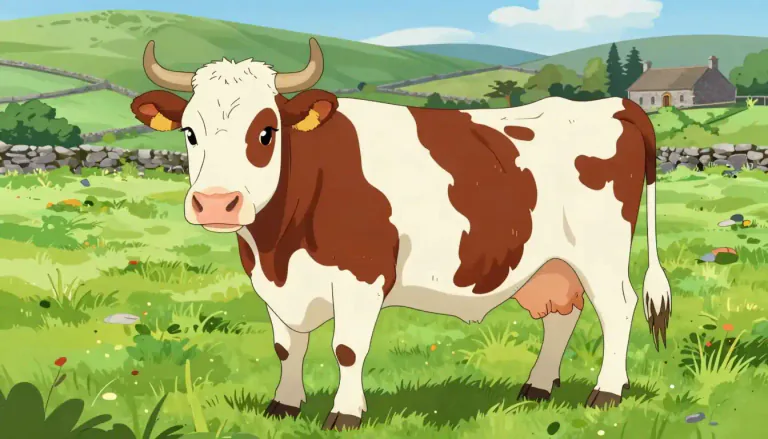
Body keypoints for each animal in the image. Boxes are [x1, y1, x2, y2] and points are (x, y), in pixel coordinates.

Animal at [130, 38, 672, 431]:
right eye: (189, 133)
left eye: (266, 131)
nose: (215, 203)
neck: (276, 246)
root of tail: (615, 105)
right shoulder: (273, 285)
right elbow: (287, 347)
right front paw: (283, 406)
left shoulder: (361, 276)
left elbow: (347, 348)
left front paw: (344, 414)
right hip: (549, 262)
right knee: (562, 312)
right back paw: (537, 387)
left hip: (600, 251)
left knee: (617, 307)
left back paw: (607, 391)